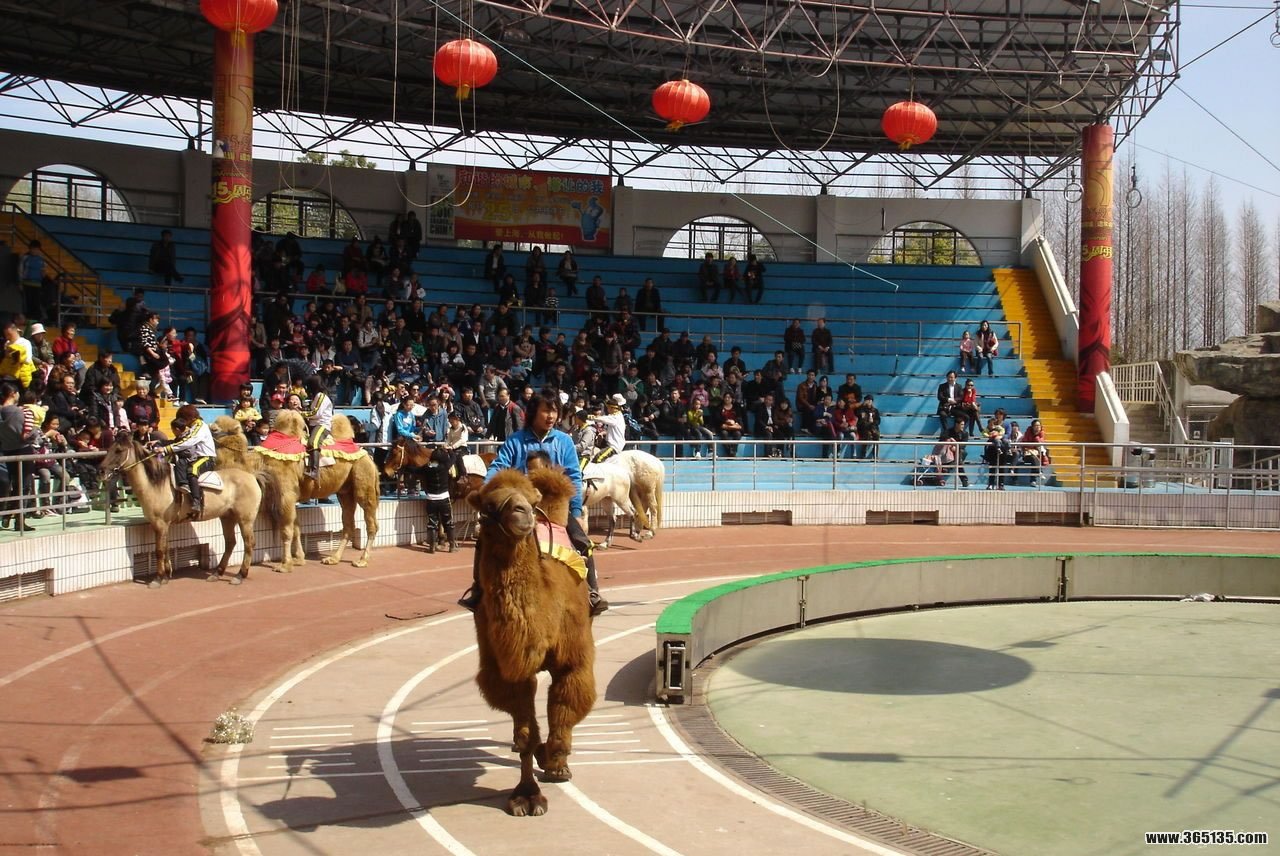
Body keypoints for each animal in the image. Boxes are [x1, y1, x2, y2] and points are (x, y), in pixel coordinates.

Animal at [99, 433, 281, 587]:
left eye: (118, 450)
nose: (101, 471)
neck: (156, 484)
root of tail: (252, 476)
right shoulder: (163, 525)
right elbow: (165, 548)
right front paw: (167, 574)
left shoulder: (160, 523)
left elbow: (159, 550)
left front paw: (158, 579)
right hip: (227, 517)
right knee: (230, 543)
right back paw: (217, 573)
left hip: (245, 519)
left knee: (249, 543)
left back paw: (239, 575)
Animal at [251, 411, 381, 571]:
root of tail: (369, 457)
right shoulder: (291, 498)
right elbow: (296, 529)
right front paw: (299, 560)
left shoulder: (286, 494)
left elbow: (286, 530)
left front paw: (285, 565)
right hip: (345, 491)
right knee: (348, 523)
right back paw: (333, 558)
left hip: (363, 477)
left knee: (371, 520)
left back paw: (362, 560)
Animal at [468, 467, 597, 817]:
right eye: (488, 504)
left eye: (531, 500)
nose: (521, 512)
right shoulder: (508, 670)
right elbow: (525, 732)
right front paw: (526, 796)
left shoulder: (573, 660)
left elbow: (564, 712)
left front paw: (555, 763)